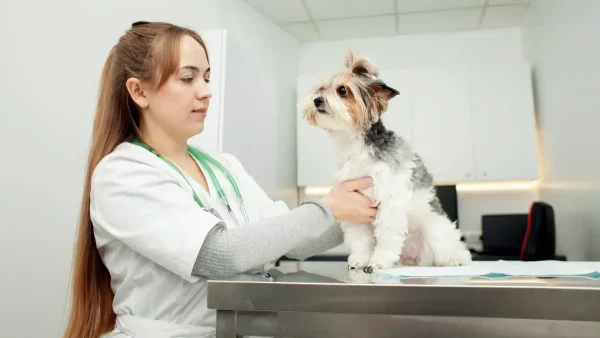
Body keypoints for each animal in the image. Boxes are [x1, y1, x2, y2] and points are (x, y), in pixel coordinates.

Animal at [300, 51, 474, 274]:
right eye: (321, 89)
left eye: (342, 90)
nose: (317, 100)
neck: (354, 145)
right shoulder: (353, 205)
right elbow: (360, 239)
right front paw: (360, 260)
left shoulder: (389, 200)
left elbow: (387, 236)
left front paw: (378, 262)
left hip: (435, 227)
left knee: (454, 248)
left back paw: (453, 258)